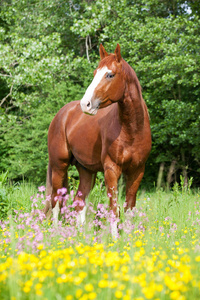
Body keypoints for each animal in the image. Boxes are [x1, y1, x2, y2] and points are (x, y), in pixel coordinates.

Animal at [43, 43, 150, 232]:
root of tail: (61, 114)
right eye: (95, 73)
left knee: (79, 202)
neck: (132, 130)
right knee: (56, 202)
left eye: (110, 74)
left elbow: (129, 208)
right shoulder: (111, 169)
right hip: (59, 166)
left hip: (86, 170)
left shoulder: (137, 171)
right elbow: (114, 209)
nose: (85, 104)